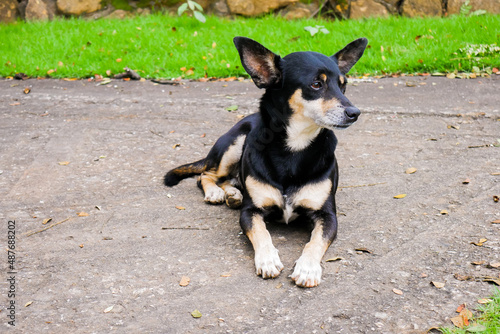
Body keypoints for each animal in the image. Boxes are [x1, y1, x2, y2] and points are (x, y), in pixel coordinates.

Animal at [164, 36, 368, 288]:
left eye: (343, 85)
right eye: (316, 85)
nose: (355, 112)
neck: (294, 148)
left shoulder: (327, 215)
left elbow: (315, 242)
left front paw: (308, 268)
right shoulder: (250, 212)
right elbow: (261, 232)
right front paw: (268, 259)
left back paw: (233, 194)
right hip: (235, 143)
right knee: (207, 175)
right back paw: (217, 192)